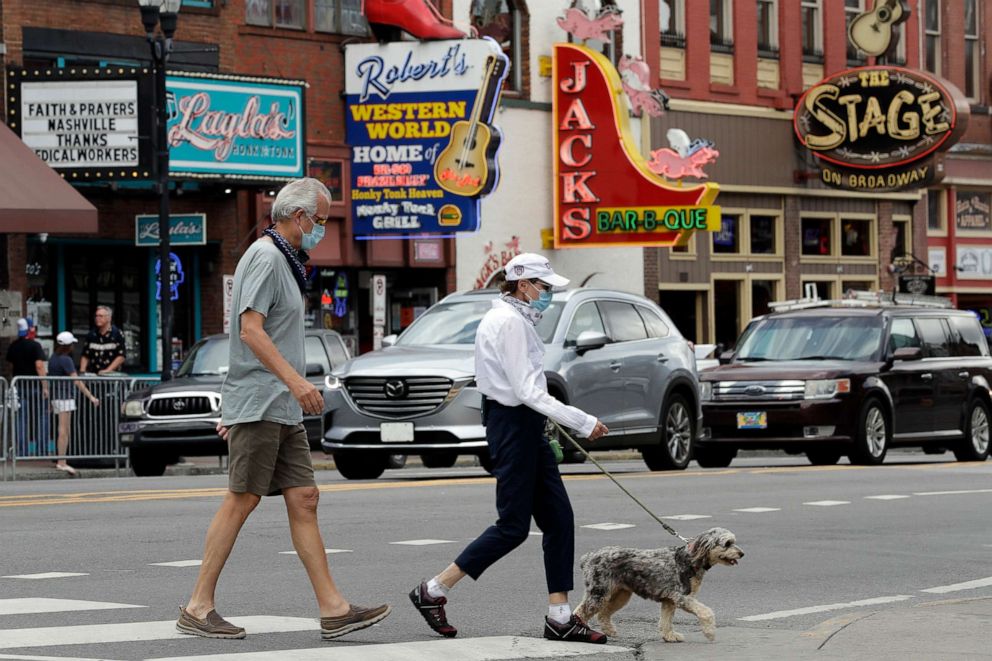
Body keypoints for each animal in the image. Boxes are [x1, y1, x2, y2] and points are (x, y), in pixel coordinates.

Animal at [572, 524, 744, 640]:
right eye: (727, 543)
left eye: (734, 541)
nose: (742, 553)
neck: (690, 560)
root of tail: (589, 556)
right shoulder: (682, 598)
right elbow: (707, 612)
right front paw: (710, 633)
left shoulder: (669, 600)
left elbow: (666, 621)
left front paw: (670, 636)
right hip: (598, 593)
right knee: (580, 612)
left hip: (620, 595)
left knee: (603, 614)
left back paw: (609, 631)